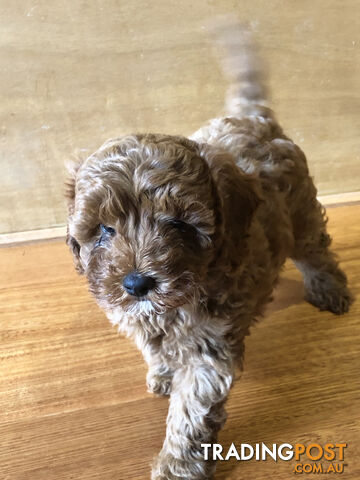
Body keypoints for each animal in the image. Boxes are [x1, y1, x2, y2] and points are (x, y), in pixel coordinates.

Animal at [65, 19, 352, 480]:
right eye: (104, 230)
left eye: (178, 225)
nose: (136, 283)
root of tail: (255, 118)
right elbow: (153, 346)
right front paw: (163, 372)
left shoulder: (207, 350)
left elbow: (190, 412)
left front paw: (178, 465)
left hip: (302, 211)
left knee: (316, 251)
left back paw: (331, 290)